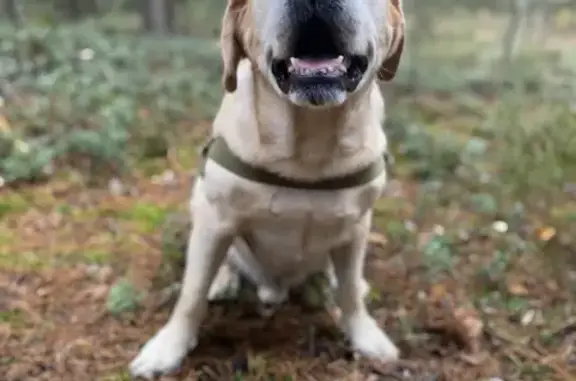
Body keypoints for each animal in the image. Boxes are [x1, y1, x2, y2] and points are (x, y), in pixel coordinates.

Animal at [129, 0, 404, 376]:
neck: (309, 144)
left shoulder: (356, 225)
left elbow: (348, 293)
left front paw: (365, 336)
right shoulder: (215, 218)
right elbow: (191, 293)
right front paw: (168, 348)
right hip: (200, 204)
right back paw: (223, 280)